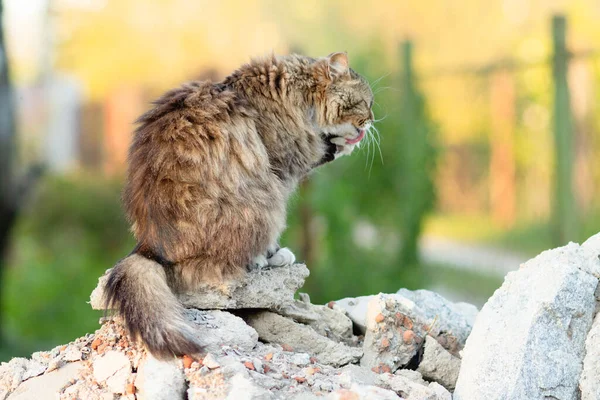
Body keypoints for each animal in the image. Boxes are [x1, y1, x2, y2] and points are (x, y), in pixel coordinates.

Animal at [103, 51, 376, 358]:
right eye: (366, 102)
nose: (371, 120)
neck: (295, 92)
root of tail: (150, 247)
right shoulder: (282, 166)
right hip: (265, 204)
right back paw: (264, 259)